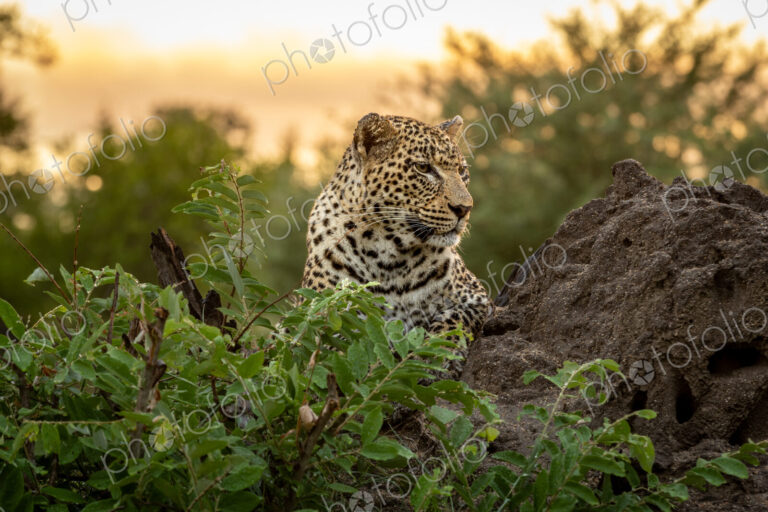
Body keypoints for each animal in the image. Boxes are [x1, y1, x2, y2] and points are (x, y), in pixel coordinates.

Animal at [301, 113, 490, 377]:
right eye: (423, 168)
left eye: (462, 171)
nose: (465, 208)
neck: (389, 255)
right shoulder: (322, 316)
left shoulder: (475, 297)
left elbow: (453, 321)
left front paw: (439, 354)